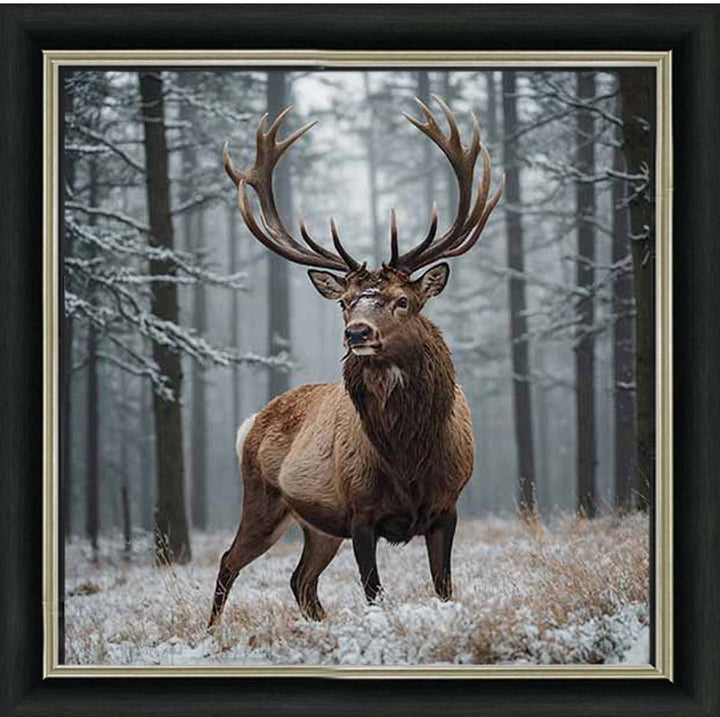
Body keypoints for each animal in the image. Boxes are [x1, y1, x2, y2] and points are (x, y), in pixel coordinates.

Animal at [208, 95, 503, 628]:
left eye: (403, 301)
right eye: (345, 303)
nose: (357, 333)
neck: (408, 459)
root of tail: (251, 422)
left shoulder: (448, 507)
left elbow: (444, 587)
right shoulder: (360, 512)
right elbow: (373, 592)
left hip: (318, 527)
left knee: (300, 580)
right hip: (264, 500)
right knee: (229, 560)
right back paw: (212, 632)